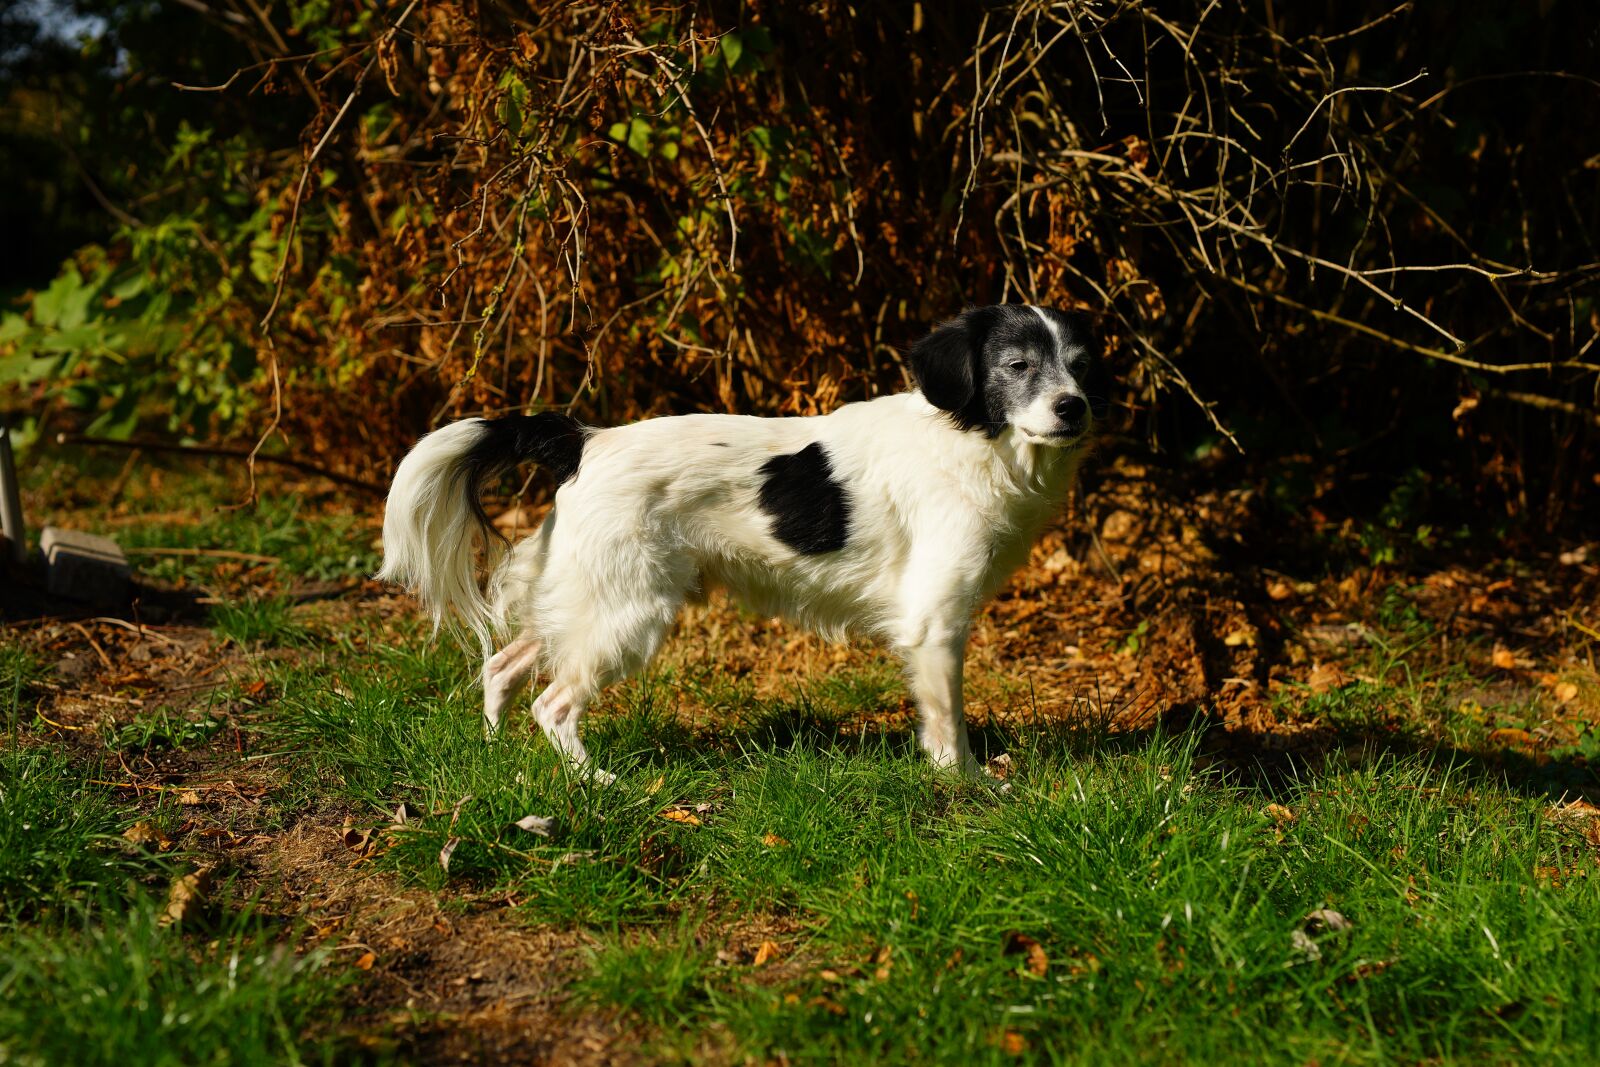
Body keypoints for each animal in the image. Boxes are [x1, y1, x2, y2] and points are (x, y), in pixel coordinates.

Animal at [377, 303, 1100, 780]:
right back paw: (594, 783)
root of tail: (585, 441)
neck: (972, 439)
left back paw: (494, 755)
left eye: (1080, 366)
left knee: (501, 669)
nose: (1076, 407)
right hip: (626, 613)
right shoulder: (935, 623)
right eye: (1017, 365)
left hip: (587, 597)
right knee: (552, 704)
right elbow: (948, 724)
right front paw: (966, 786)